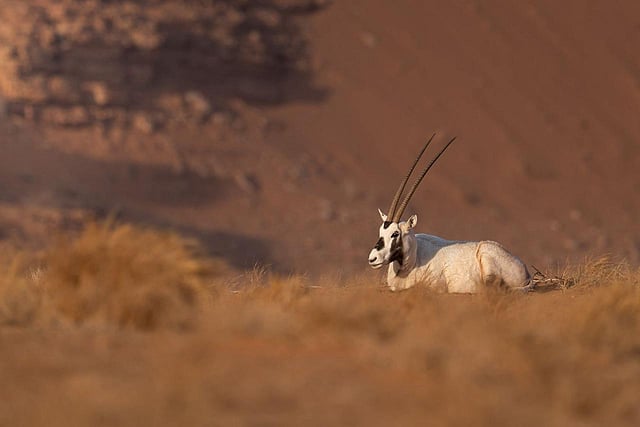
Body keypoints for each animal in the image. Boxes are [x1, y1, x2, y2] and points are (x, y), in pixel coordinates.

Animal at [368, 134, 532, 293]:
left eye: (395, 233)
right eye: (381, 231)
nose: (372, 259)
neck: (414, 259)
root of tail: (525, 270)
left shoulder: (436, 285)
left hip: (487, 257)